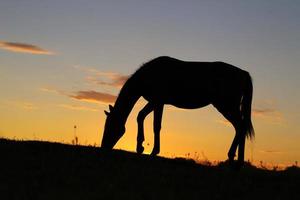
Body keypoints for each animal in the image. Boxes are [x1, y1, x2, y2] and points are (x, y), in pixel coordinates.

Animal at [101, 56, 253, 167]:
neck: (150, 74)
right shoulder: (154, 102)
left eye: (110, 126)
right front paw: (140, 147)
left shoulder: (158, 102)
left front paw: (154, 151)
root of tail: (243, 73)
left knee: (240, 126)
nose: (103, 147)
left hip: (227, 106)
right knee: (241, 127)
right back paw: (238, 162)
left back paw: (232, 158)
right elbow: (141, 116)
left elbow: (156, 126)